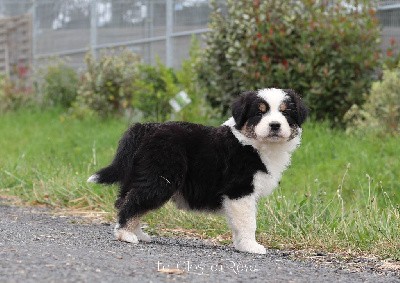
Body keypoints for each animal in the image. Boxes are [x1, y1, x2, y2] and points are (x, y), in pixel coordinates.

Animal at [88, 88, 306, 255]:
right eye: (260, 112)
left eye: (285, 113)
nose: (275, 125)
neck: (253, 144)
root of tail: (146, 127)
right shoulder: (240, 190)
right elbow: (247, 221)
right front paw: (251, 246)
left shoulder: (238, 197)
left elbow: (237, 222)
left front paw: (240, 244)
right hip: (161, 178)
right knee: (134, 202)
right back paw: (125, 234)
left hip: (138, 176)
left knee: (126, 201)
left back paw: (137, 233)